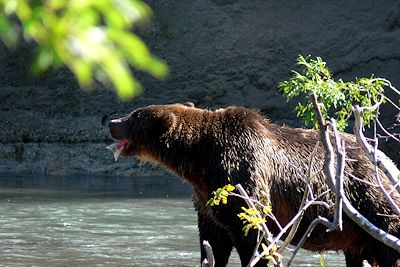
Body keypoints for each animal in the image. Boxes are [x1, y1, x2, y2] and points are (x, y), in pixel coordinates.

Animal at [108, 104, 400, 267]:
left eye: (134, 116)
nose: (111, 122)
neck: (199, 159)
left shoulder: (242, 171)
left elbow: (252, 231)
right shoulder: (208, 195)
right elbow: (213, 238)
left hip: (368, 199)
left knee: (388, 239)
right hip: (356, 232)